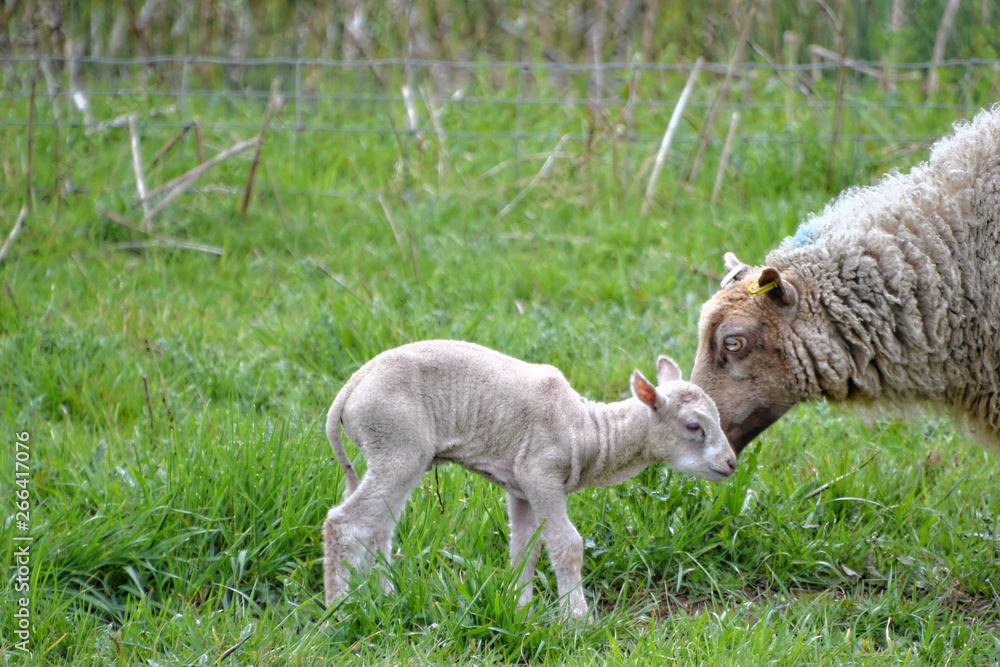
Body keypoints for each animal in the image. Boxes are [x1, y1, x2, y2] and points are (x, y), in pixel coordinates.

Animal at [322, 340, 736, 621]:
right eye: (694, 426)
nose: (731, 463)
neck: (588, 431)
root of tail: (350, 388)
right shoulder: (541, 473)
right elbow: (568, 545)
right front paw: (577, 619)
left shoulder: (520, 486)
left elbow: (526, 548)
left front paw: (520, 609)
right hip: (396, 439)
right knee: (345, 522)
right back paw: (339, 606)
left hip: (397, 450)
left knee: (379, 528)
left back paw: (384, 597)